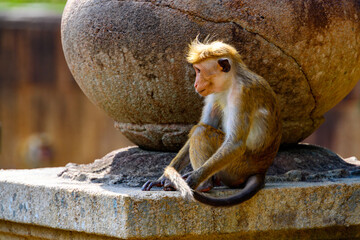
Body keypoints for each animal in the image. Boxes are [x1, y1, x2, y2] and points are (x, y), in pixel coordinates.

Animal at [142, 39, 282, 206]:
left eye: (199, 70)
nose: (195, 84)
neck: (231, 82)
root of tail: (260, 171)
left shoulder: (243, 94)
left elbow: (234, 143)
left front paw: (192, 180)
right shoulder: (214, 93)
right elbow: (209, 122)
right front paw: (162, 178)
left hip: (238, 166)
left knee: (201, 131)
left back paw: (205, 184)